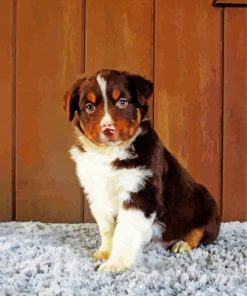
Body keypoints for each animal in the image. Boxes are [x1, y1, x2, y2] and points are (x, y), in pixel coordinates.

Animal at [63, 69, 220, 270]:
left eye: (122, 102)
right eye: (89, 107)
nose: (108, 129)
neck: (110, 154)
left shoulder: (141, 193)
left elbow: (124, 231)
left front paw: (116, 263)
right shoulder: (97, 193)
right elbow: (107, 228)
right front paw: (105, 253)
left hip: (207, 206)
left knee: (202, 233)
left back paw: (182, 243)